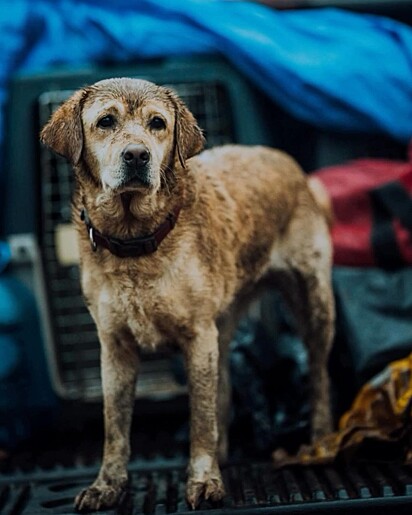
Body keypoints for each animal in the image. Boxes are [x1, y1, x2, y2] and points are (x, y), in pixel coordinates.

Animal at [40, 78, 334, 512]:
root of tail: (290, 165)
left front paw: (204, 479)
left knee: (318, 374)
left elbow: (200, 419)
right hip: (222, 328)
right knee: (224, 390)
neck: (137, 241)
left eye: (157, 123)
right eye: (106, 121)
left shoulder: (197, 338)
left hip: (314, 305)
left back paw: (321, 438)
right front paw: (107, 485)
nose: (137, 155)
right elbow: (115, 426)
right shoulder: (115, 347)